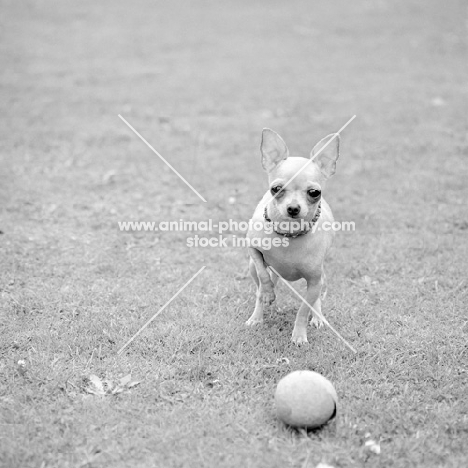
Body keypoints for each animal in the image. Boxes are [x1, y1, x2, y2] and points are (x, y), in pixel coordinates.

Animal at [245, 128, 340, 344]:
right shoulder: (253, 249)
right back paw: (257, 315)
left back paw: (318, 317)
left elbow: (303, 310)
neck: (289, 233)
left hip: (321, 278)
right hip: (251, 267)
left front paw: (299, 335)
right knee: (259, 287)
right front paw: (268, 293)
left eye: (314, 192)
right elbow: (263, 276)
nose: (293, 208)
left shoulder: (314, 282)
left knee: (316, 300)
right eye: (276, 189)